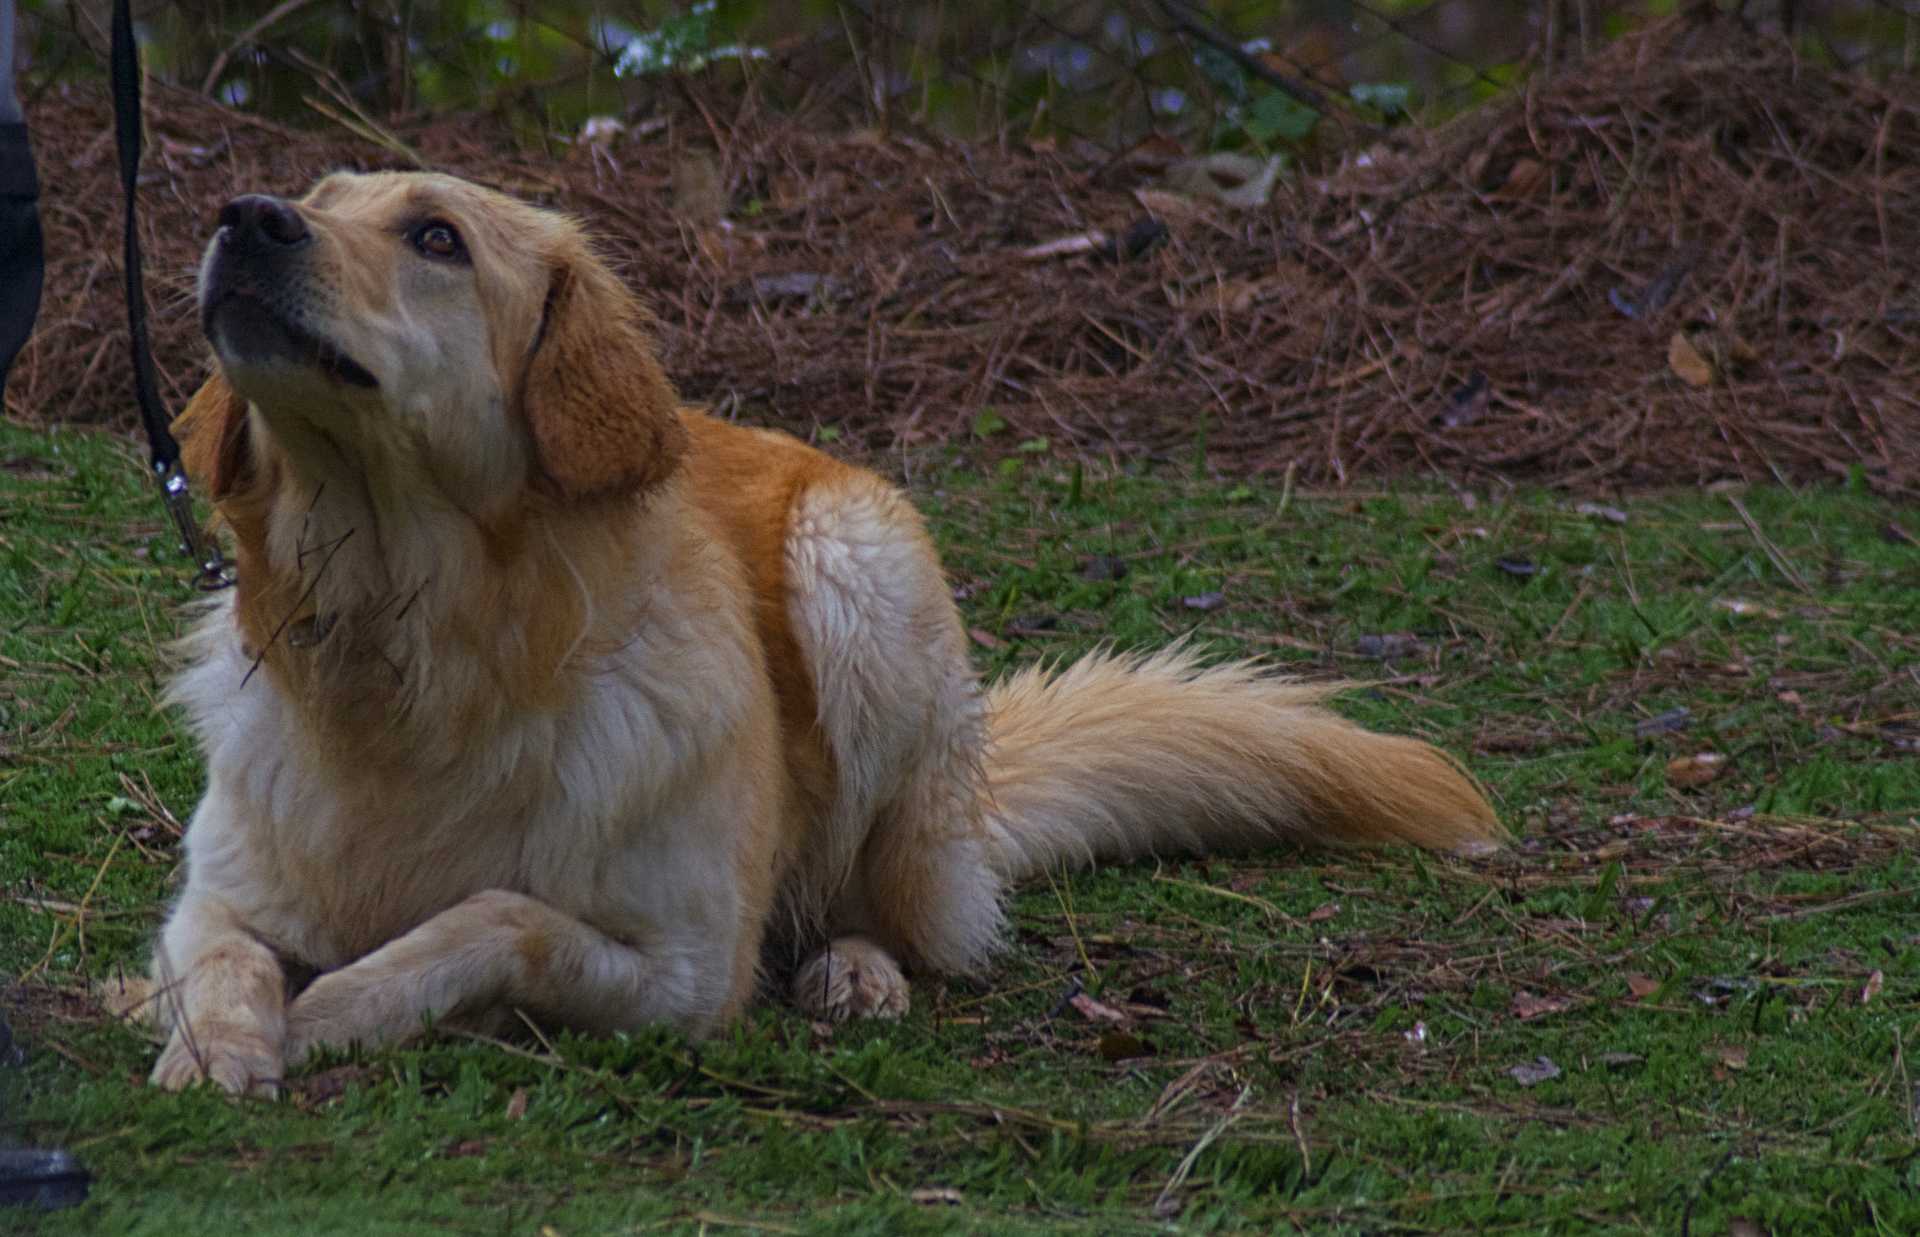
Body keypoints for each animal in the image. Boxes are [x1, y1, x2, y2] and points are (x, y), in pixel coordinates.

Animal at [145, 171, 1497, 1091]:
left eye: (437, 237)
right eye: (319, 198)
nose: (247, 216)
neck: (415, 643)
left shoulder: (688, 972)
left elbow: (495, 921)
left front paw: (340, 1004)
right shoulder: (216, 891)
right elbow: (222, 958)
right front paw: (218, 1044)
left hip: (858, 579)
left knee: (890, 902)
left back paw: (858, 966)